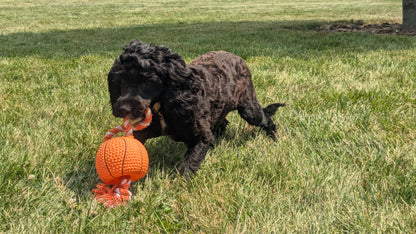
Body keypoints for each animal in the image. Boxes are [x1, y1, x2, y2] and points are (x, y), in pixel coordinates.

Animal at [107, 40, 286, 178]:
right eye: (120, 80)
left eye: (148, 81)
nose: (123, 108)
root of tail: (236, 57)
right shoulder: (145, 131)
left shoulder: (201, 137)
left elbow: (188, 164)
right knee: (222, 122)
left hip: (248, 107)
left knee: (265, 118)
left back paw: (273, 137)